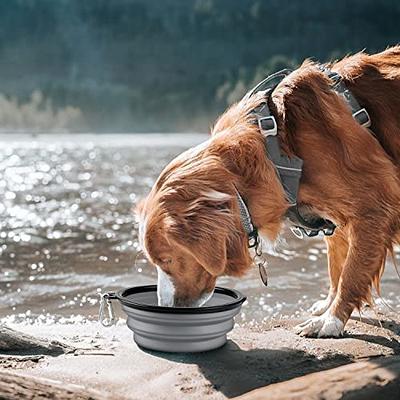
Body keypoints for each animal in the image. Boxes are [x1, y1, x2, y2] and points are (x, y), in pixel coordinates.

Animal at [137, 47, 400, 338]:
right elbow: (337, 266)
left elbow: (351, 273)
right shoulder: (338, 216)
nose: (166, 307)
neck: (280, 151)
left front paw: (331, 320)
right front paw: (328, 304)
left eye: (167, 260)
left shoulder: (375, 207)